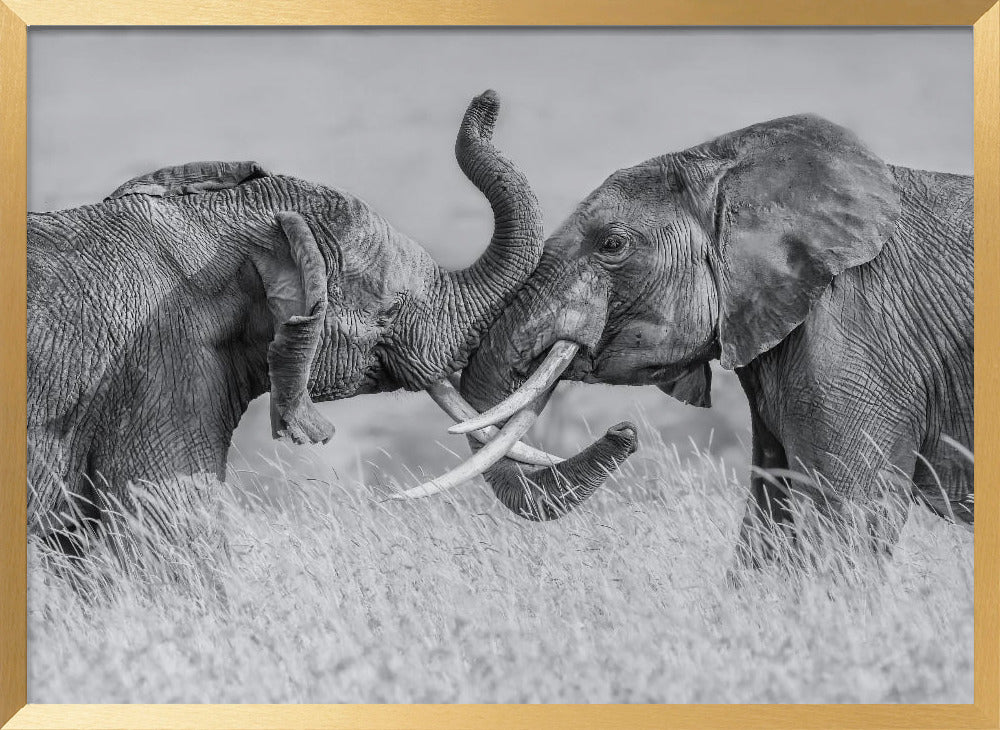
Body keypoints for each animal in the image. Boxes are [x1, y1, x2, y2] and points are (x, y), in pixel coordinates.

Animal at [416, 113, 973, 561]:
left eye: (611, 244)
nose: (624, 432)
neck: (731, 168)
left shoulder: (857, 332)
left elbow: (846, 518)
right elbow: (769, 519)